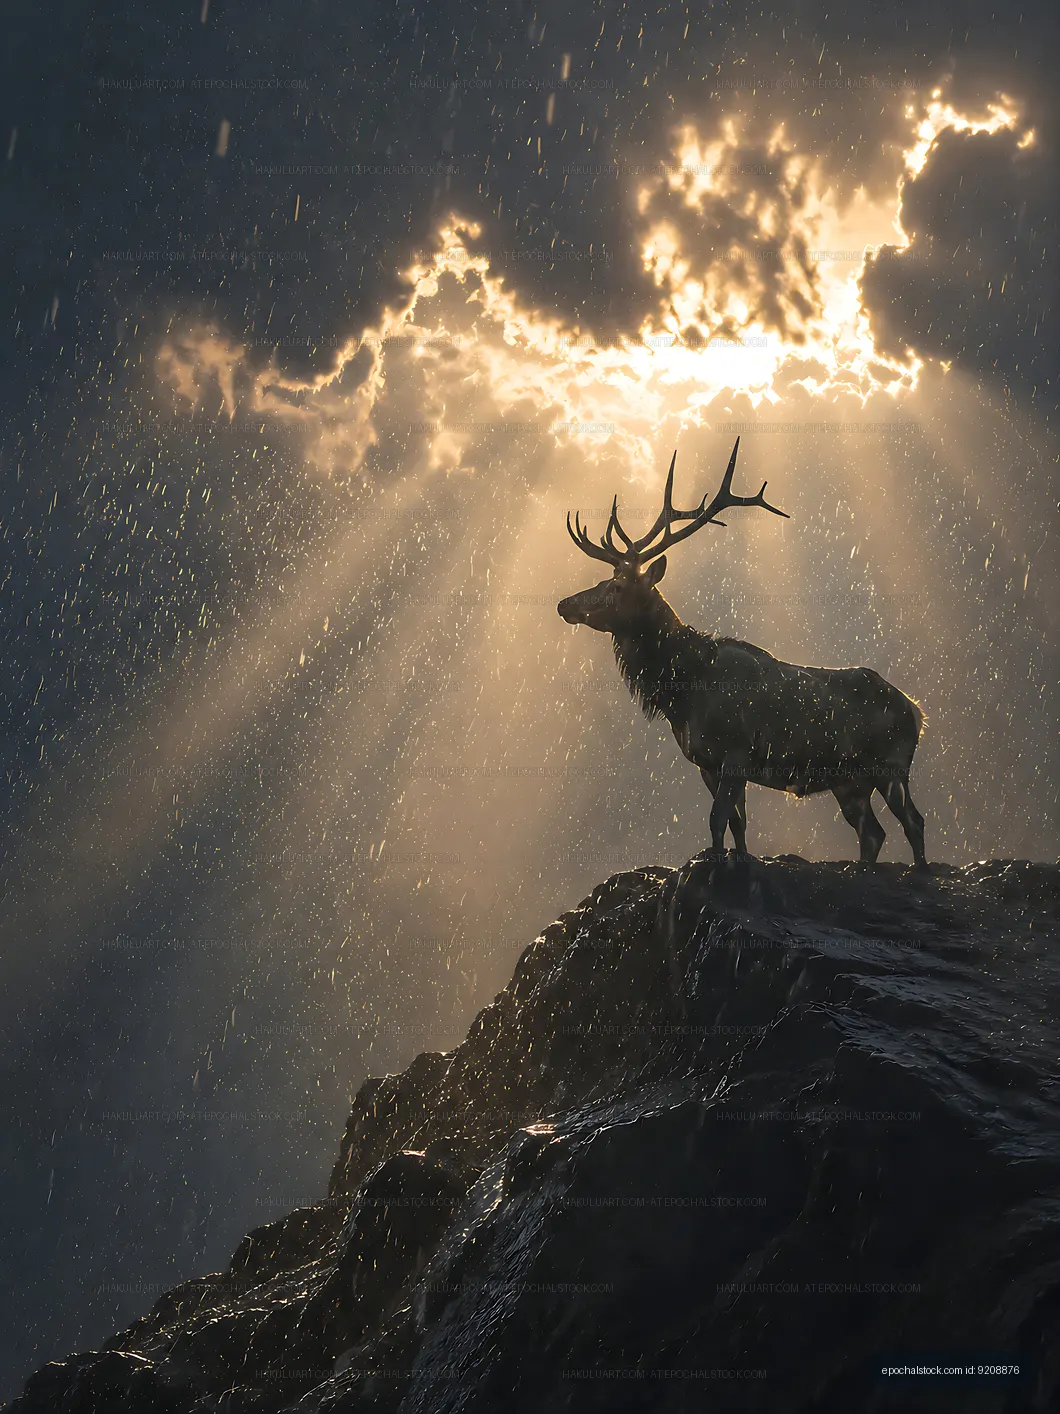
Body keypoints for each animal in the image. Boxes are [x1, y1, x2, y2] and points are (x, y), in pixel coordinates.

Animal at [557, 439, 928, 868]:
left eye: (617, 587)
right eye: (605, 579)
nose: (564, 604)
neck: (684, 691)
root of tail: (916, 712)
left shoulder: (736, 753)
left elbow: (717, 819)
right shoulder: (706, 763)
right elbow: (736, 825)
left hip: (891, 764)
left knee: (913, 822)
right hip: (849, 781)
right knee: (873, 832)